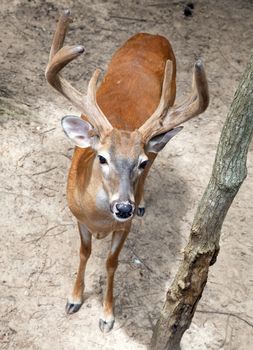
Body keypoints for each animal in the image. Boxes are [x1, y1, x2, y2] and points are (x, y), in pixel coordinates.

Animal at [45, 9, 210, 332]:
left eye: (140, 162)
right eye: (102, 158)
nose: (124, 207)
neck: (99, 219)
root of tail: (153, 34)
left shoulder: (125, 227)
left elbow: (112, 263)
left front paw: (107, 316)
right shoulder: (78, 217)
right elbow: (84, 253)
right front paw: (74, 299)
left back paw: (143, 200)